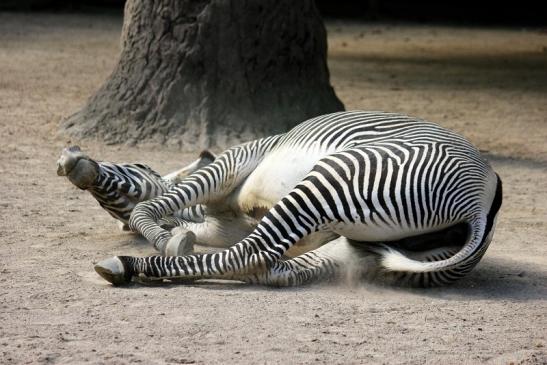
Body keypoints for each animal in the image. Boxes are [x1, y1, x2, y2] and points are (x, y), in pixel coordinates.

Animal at [57, 111, 504, 288]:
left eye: (133, 164)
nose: (72, 161)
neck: (216, 212)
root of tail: (482, 204)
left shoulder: (237, 159)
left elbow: (150, 206)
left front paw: (165, 236)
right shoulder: (217, 225)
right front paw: (171, 235)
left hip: (331, 179)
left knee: (250, 255)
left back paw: (131, 264)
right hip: (360, 251)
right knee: (268, 268)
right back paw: (137, 267)